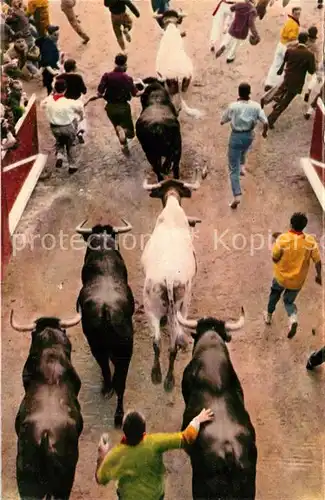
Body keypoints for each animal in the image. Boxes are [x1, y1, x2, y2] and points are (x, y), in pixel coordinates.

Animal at [140, 174, 201, 392]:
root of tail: (168, 279)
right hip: (182, 307)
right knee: (172, 346)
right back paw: (169, 379)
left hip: (151, 308)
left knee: (157, 342)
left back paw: (157, 375)